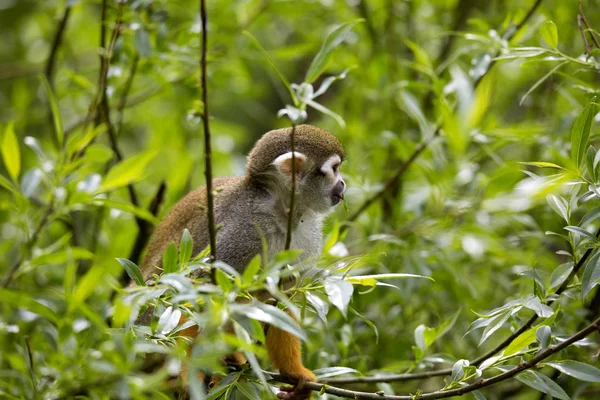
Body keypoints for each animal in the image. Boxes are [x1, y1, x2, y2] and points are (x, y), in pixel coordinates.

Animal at [139, 123, 344, 398]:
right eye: (335, 168)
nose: (342, 183)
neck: (280, 212)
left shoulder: (306, 237)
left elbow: (281, 300)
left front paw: (295, 373)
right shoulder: (241, 232)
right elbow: (197, 288)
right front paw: (189, 373)